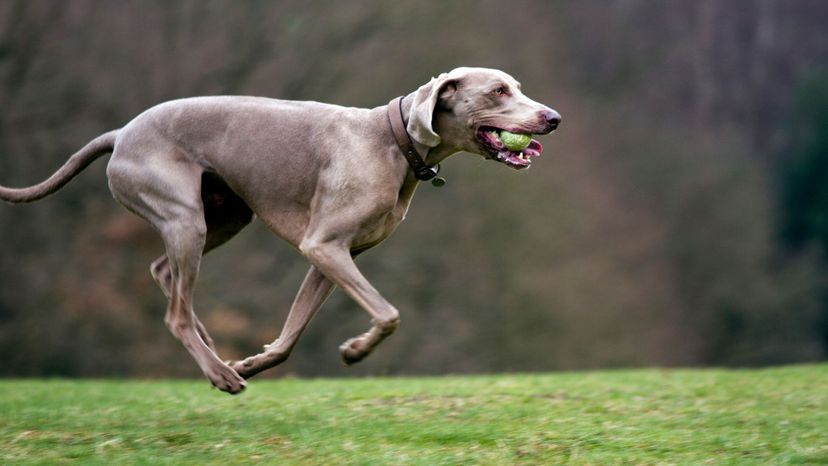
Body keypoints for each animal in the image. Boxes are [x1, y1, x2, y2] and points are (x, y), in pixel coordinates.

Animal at [0, 66, 560, 394]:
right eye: (498, 90)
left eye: (517, 87)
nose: (553, 117)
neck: (393, 141)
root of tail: (120, 134)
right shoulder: (324, 246)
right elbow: (390, 313)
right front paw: (355, 351)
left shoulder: (334, 257)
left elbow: (290, 337)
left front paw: (255, 361)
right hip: (185, 217)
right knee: (174, 311)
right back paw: (219, 374)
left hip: (225, 213)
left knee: (163, 273)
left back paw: (217, 353)